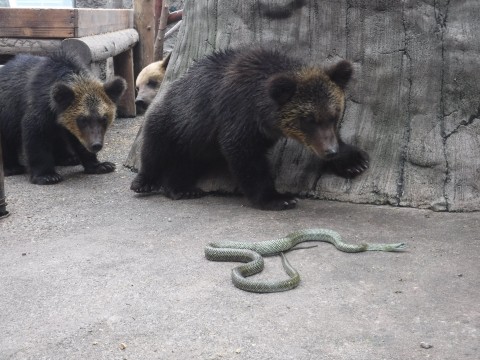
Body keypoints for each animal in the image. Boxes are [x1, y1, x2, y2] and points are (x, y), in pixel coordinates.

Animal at [0, 50, 125, 184]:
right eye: (83, 119)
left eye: (104, 118)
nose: (96, 144)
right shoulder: (40, 108)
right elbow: (36, 137)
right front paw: (47, 175)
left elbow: (77, 140)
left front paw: (101, 165)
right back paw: (12, 167)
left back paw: (69, 158)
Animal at [130, 49, 368, 210]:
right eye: (308, 120)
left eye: (334, 116)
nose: (330, 151)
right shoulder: (238, 115)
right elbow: (245, 156)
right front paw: (278, 198)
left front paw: (354, 161)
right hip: (174, 121)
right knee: (154, 149)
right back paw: (145, 182)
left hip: (196, 144)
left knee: (185, 163)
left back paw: (183, 187)